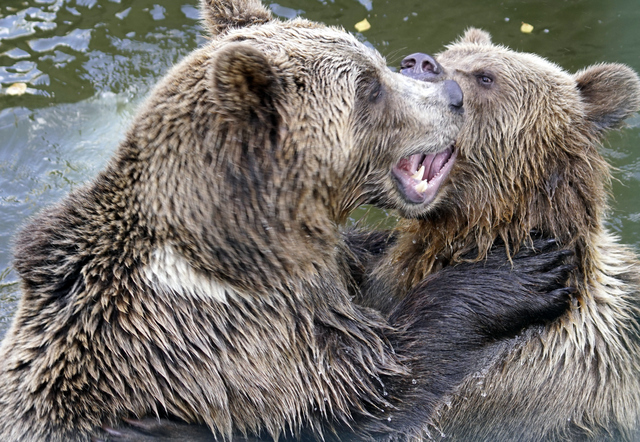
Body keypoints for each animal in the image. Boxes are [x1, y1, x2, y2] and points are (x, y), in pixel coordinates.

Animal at [0, 1, 572, 440]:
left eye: (377, 66)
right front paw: (522, 274)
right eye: (369, 87)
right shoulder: (236, 351)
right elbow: (378, 391)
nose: (453, 97)